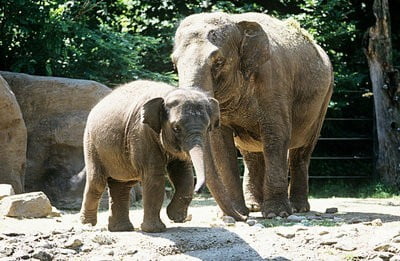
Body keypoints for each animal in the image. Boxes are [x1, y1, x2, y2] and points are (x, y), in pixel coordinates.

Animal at [79, 79, 220, 232]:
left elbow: (183, 172)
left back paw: (122, 229)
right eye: (176, 128)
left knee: (122, 186)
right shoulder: (142, 133)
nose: (199, 190)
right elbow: (154, 175)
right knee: (97, 182)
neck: (169, 93)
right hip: (91, 143)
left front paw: (175, 217)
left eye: (208, 128)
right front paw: (156, 229)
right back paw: (87, 224)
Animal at [173, 12, 332, 219]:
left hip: (323, 101)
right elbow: (220, 145)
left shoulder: (273, 82)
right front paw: (234, 213)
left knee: (301, 152)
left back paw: (298, 208)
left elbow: (276, 136)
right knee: (251, 155)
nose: (240, 218)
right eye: (174, 64)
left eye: (218, 62)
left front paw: (276, 214)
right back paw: (254, 206)